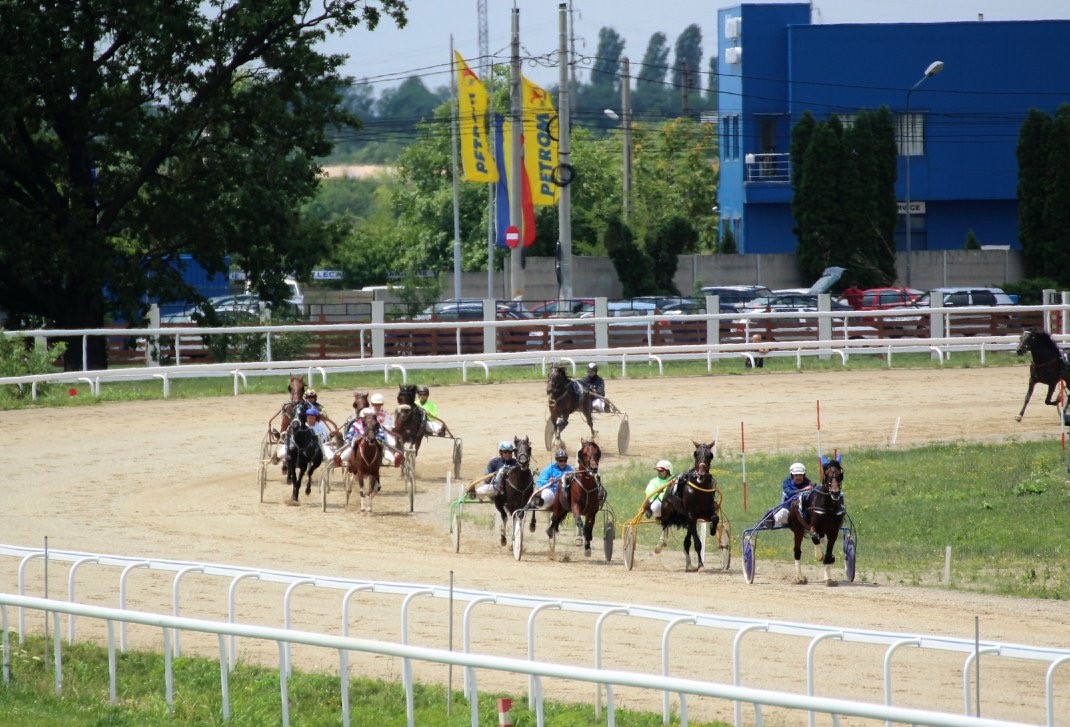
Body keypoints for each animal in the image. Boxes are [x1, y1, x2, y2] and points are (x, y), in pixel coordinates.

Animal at [657, 441, 719, 572]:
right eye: (695, 453)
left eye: (711, 455)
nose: (701, 474)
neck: (699, 488)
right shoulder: (692, 515)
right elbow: (698, 543)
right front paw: (701, 566)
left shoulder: (707, 511)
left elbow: (715, 517)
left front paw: (712, 529)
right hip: (668, 511)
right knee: (665, 524)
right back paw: (659, 545)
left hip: (686, 519)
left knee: (686, 541)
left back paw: (689, 564)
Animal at [787, 454, 846, 585]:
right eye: (826, 472)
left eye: (840, 473)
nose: (835, 492)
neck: (828, 506)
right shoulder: (813, 526)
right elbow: (814, 537)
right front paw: (819, 556)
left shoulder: (833, 531)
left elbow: (829, 553)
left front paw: (828, 578)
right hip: (798, 529)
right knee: (797, 551)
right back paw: (799, 578)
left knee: (822, 540)